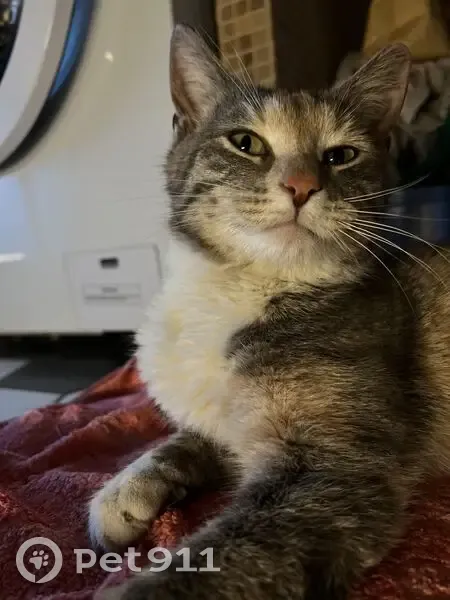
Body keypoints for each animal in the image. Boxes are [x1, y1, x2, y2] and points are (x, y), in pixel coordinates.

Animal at [90, 25, 450, 600]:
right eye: (246, 143)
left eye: (340, 155)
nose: (301, 185)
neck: (244, 286)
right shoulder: (228, 426)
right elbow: (182, 440)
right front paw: (124, 490)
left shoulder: (332, 470)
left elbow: (227, 557)